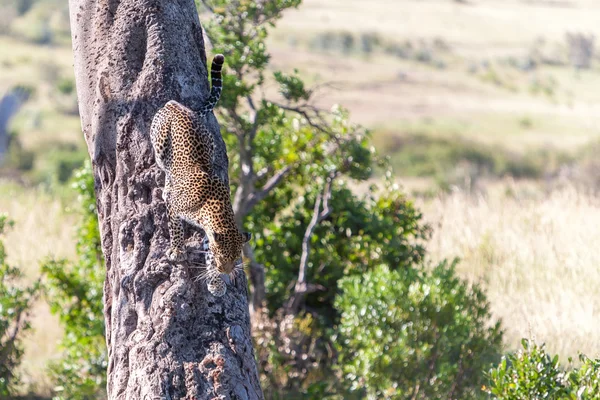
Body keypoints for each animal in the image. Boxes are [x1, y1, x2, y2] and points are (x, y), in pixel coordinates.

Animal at [152, 53, 253, 294]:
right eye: (222, 258)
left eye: (235, 258)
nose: (226, 271)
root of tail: (178, 105)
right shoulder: (175, 208)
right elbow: (176, 229)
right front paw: (177, 251)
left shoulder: (210, 232)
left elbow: (206, 251)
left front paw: (215, 282)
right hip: (159, 144)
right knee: (164, 168)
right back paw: (166, 187)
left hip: (210, 143)